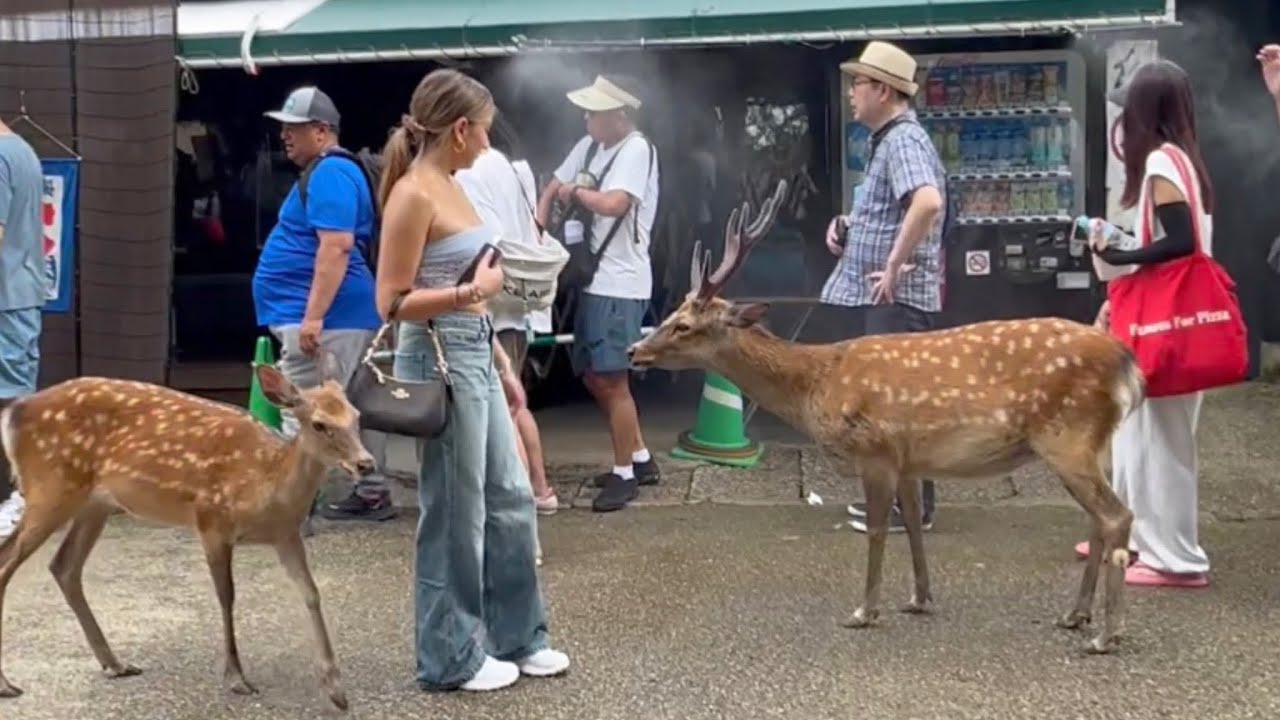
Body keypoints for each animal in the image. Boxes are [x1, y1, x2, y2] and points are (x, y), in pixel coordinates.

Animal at [0, 360, 372, 710]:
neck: (266, 486)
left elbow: (311, 593)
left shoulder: (286, 534)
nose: (365, 463)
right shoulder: (211, 520)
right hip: (51, 487)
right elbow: (227, 596)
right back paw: (7, 684)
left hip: (95, 504)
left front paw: (336, 690)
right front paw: (236, 677)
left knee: (64, 566)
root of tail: (15, 410)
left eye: (356, 415)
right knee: (8, 564)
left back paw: (115, 663)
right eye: (320, 424)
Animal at [628, 179, 1143, 655]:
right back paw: (1075, 615)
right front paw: (919, 598)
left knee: (1117, 515)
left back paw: (1106, 634)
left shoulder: (874, 450)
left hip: (1068, 437)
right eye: (673, 314)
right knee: (1097, 520)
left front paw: (863, 611)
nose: (635, 350)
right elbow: (912, 522)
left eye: (684, 325)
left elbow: (877, 529)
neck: (817, 386)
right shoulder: (907, 459)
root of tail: (1124, 361)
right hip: (1088, 443)